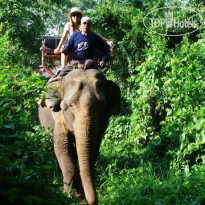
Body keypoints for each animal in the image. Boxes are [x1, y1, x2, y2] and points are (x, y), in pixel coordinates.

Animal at [38, 69, 120, 205]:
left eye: (103, 105)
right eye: (70, 106)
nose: (94, 201)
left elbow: (94, 149)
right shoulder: (59, 115)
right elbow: (61, 147)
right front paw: (73, 195)